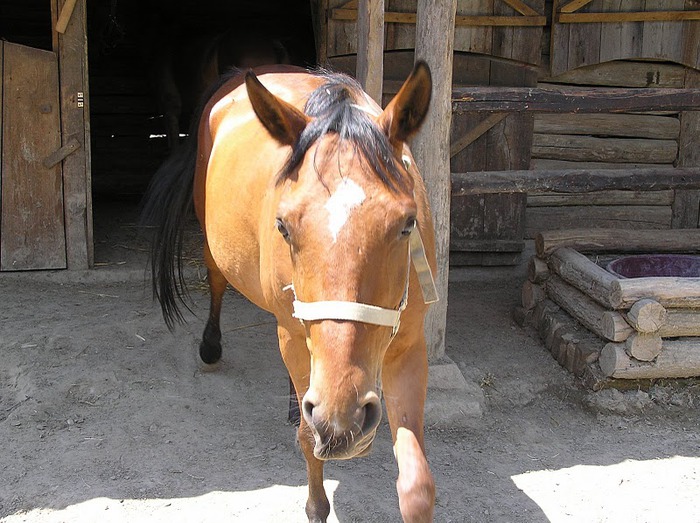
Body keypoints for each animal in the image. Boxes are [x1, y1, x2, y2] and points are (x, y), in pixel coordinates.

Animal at [143, 62, 438, 523]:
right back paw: (212, 346)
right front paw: (316, 503)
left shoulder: (409, 348)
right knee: (216, 281)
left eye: (407, 224)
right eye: (283, 226)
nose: (342, 415)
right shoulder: (296, 340)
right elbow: (307, 440)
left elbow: (417, 487)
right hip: (215, 246)